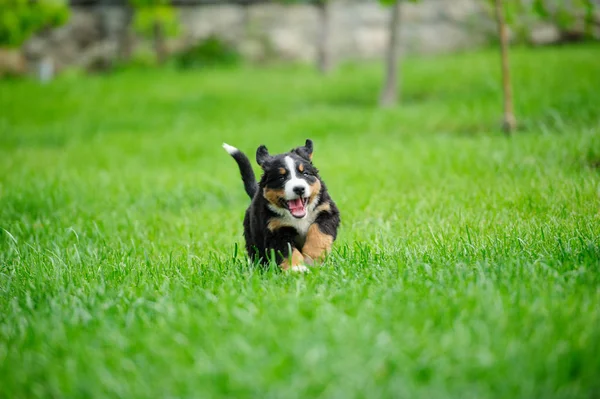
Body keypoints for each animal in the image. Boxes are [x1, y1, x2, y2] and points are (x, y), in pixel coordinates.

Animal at [223, 139, 340, 274]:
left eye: (305, 173)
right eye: (281, 177)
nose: (299, 188)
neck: (298, 218)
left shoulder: (327, 212)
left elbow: (318, 233)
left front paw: (312, 258)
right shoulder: (275, 229)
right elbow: (287, 250)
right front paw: (296, 268)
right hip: (253, 240)